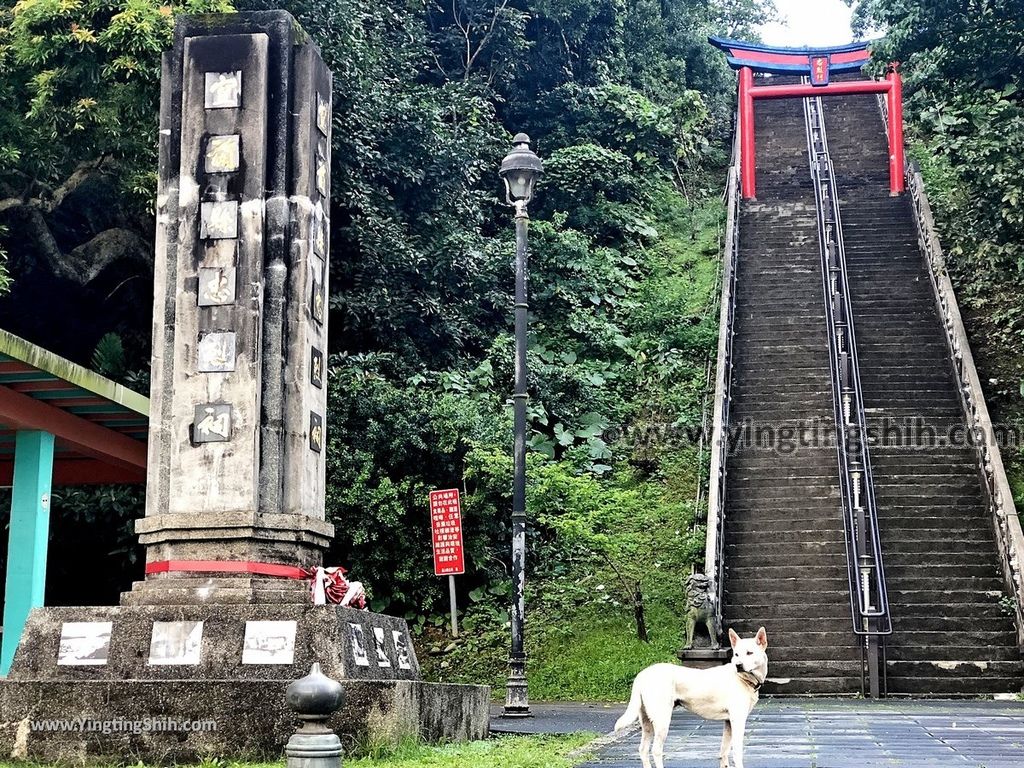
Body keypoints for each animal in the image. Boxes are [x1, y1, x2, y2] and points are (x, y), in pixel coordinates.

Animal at [610, 630, 765, 768]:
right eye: (736, 654)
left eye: (749, 653)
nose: (738, 665)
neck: (742, 678)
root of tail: (642, 675)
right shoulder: (738, 720)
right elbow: (737, 752)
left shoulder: (728, 722)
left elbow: (724, 751)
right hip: (662, 721)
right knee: (656, 750)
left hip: (647, 722)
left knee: (643, 750)